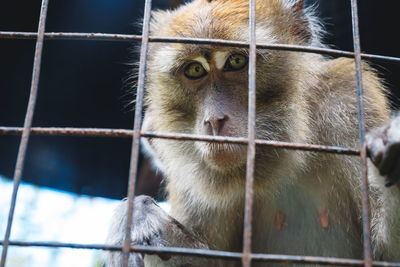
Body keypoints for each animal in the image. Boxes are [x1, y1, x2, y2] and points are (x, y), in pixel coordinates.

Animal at [104, 0, 400, 266]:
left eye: (236, 61)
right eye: (195, 69)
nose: (214, 120)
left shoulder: (347, 98)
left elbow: (385, 254)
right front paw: (137, 216)